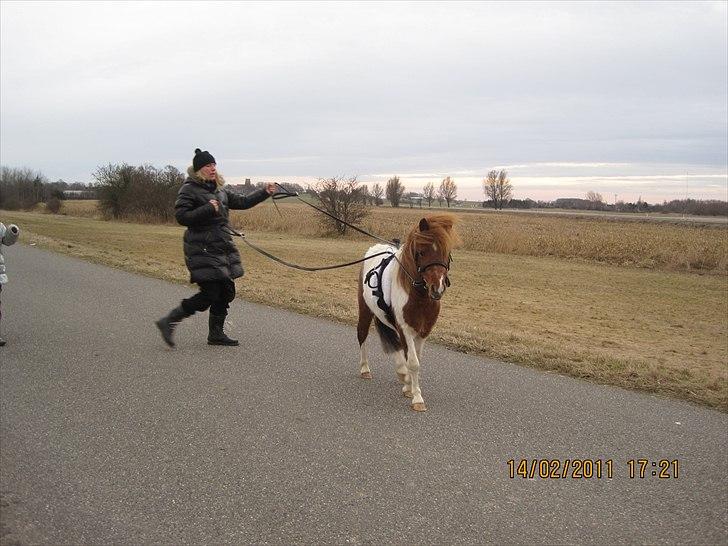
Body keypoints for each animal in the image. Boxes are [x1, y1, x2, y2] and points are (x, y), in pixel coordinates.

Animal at [356, 213, 462, 412]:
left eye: (447, 252)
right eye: (421, 252)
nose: (437, 288)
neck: (418, 296)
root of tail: (374, 249)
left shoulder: (422, 332)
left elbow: (414, 359)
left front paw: (409, 387)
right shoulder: (405, 328)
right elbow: (413, 362)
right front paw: (417, 398)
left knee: (396, 343)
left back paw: (402, 374)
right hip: (365, 311)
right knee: (362, 335)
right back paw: (365, 369)